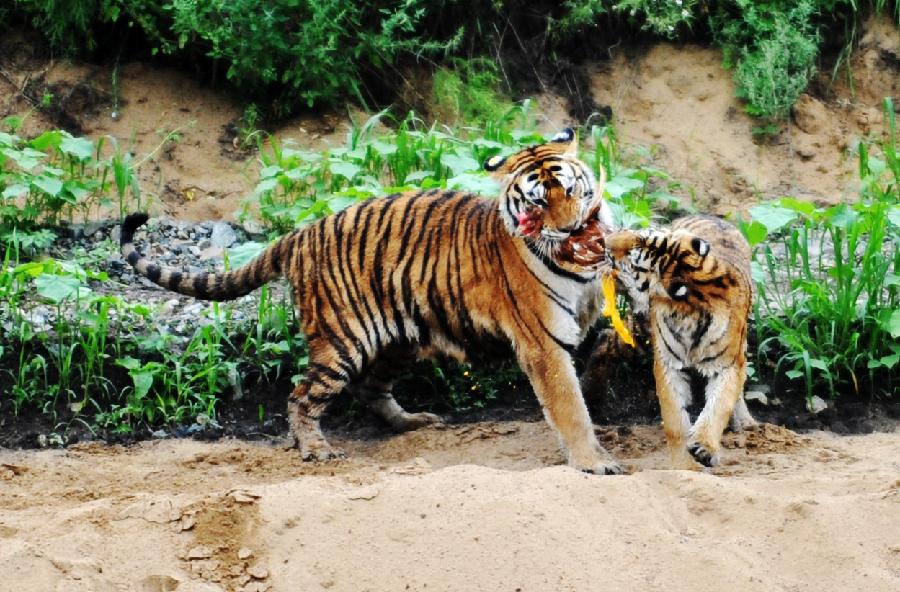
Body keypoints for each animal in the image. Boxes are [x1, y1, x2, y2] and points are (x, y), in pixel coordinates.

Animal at [118, 131, 624, 476]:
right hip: (342, 341)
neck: (577, 267)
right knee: (301, 395)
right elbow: (569, 407)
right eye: (536, 205)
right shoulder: (543, 343)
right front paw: (594, 461)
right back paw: (316, 450)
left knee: (371, 389)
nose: (571, 228)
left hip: (399, 337)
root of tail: (302, 232)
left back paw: (414, 422)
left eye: (572, 190)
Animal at [600, 215, 756, 470]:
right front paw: (683, 464)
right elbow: (674, 418)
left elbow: (719, 405)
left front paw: (704, 448)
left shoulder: (727, 365)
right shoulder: (668, 364)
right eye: (641, 235)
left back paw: (745, 422)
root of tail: (713, 217)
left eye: (633, 262)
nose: (606, 239)